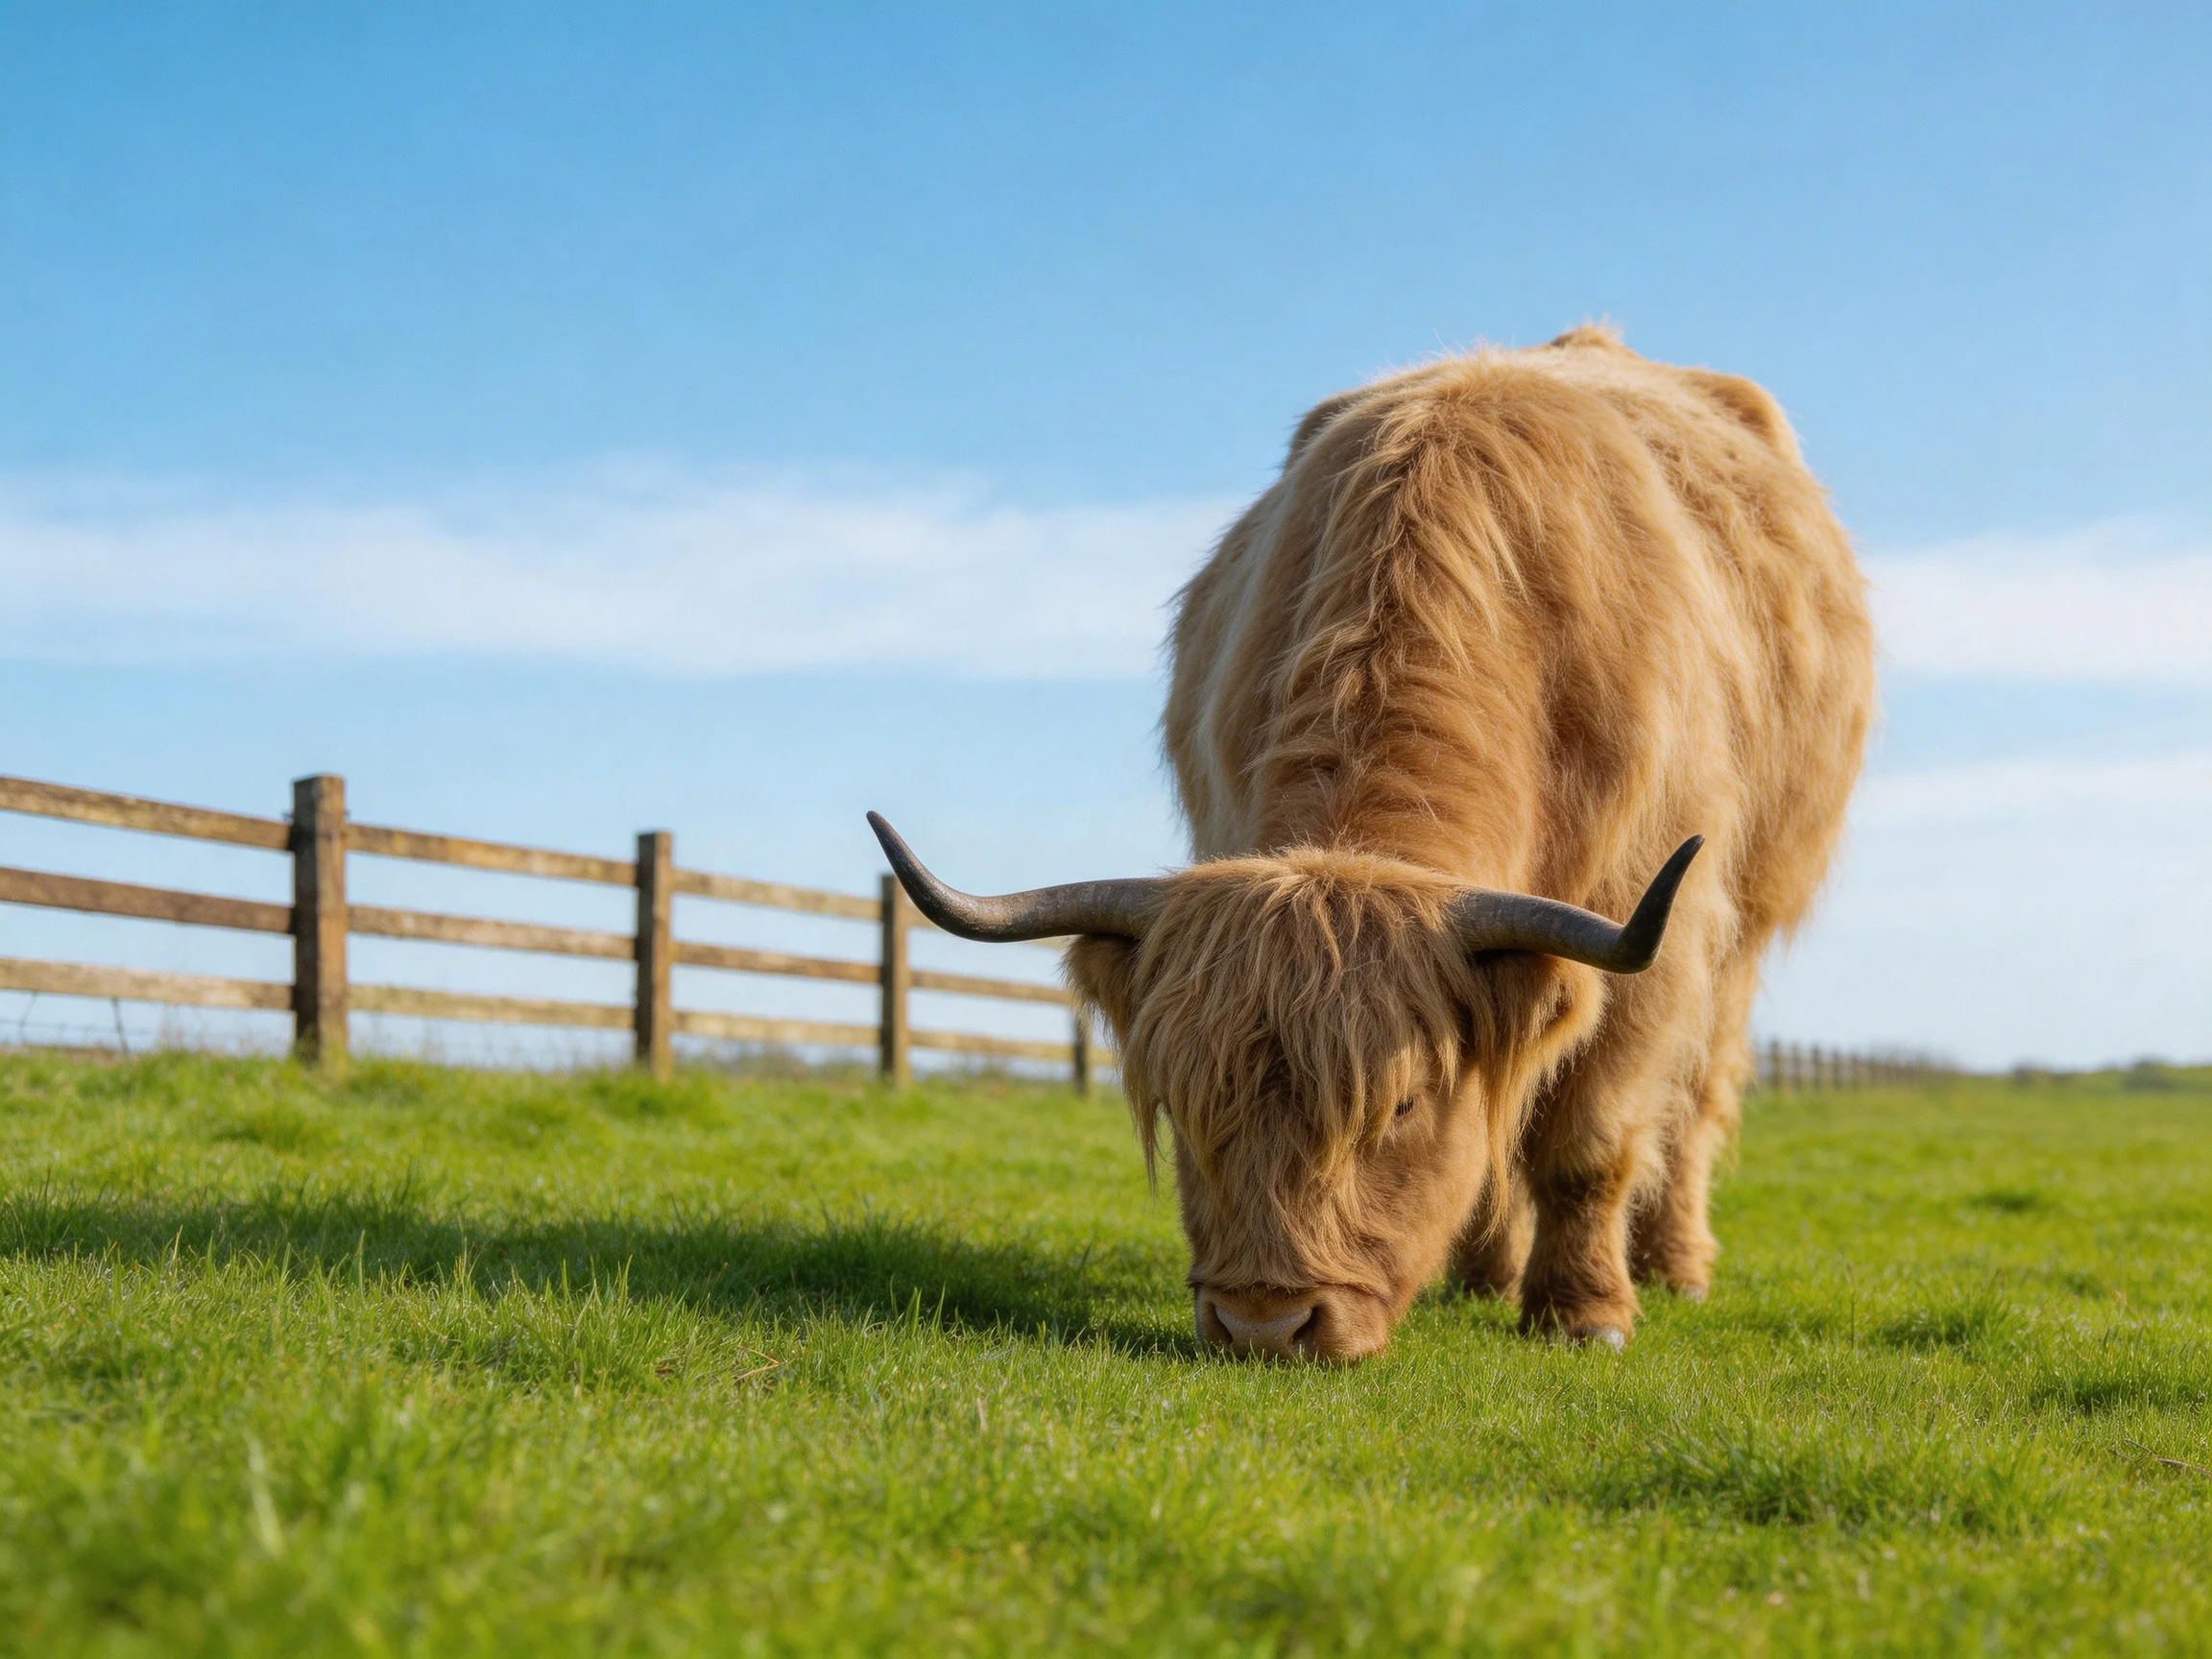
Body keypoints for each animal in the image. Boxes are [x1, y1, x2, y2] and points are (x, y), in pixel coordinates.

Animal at [870, 325, 1873, 1360]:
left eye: (1400, 1105)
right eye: (1188, 1102)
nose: (1264, 1324)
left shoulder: (1654, 933)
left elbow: (1589, 1136)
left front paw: (1584, 1312)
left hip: (1742, 929)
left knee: (1696, 1098)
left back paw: (1674, 1266)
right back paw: (1486, 1272)